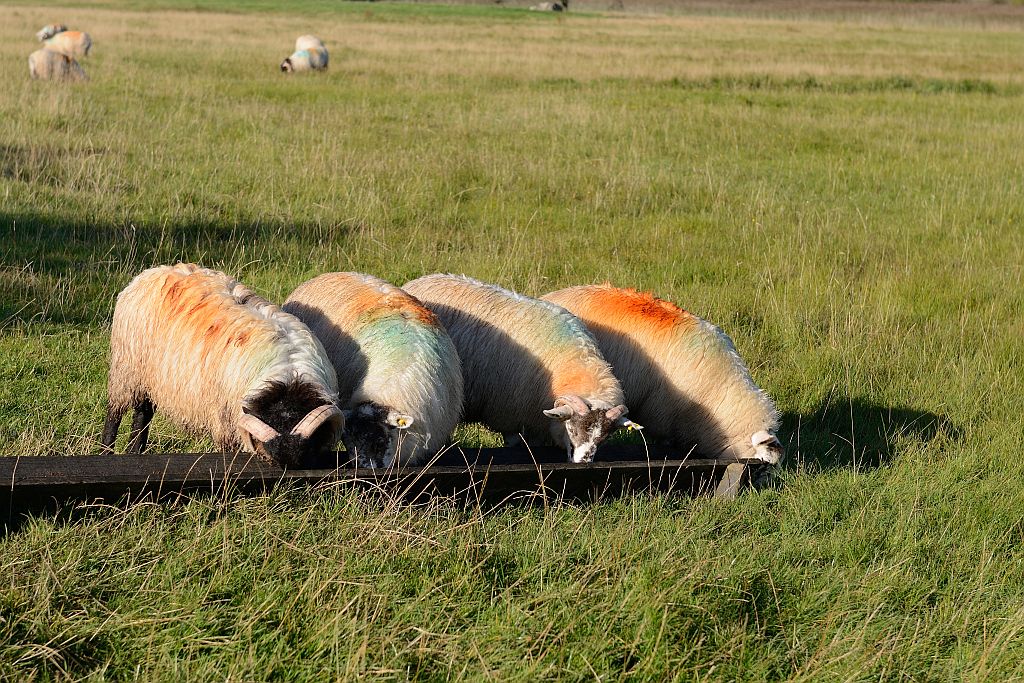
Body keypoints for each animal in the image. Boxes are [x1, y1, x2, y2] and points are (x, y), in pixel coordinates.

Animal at [100, 263, 345, 467]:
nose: (287, 462)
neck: (289, 377)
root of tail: (154, 271)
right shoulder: (225, 419)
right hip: (126, 368)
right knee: (115, 413)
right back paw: (105, 452)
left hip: (149, 375)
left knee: (143, 412)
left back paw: (135, 452)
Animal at [402, 274, 637, 464]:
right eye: (571, 427)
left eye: (604, 437)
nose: (583, 462)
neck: (575, 361)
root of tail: (421, 280)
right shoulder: (510, 417)